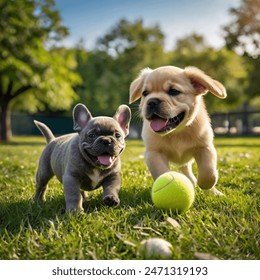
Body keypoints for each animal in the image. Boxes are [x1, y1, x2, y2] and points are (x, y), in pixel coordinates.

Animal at [129, 65, 226, 195]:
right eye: (145, 93)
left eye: (174, 91)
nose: (152, 101)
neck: (176, 132)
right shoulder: (153, 153)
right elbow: (162, 172)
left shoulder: (205, 147)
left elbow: (208, 172)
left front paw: (205, 185)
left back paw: (213, 191)